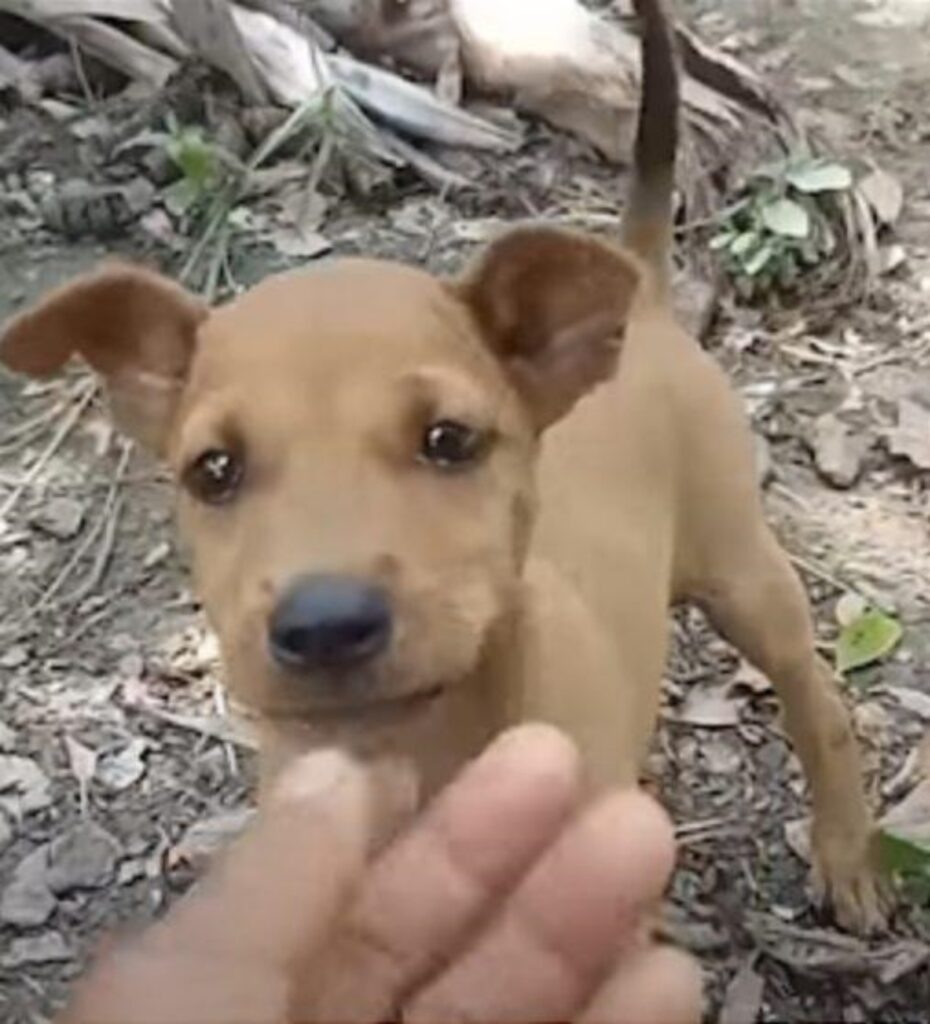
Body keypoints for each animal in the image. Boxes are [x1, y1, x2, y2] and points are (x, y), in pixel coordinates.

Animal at [0, 0, 880, 929]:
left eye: (450, 440)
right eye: (213, 469)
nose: (325, 627)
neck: (424, 752)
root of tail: (639, 293)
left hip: (743, 573)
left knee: (819, 702)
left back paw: (846, 853)